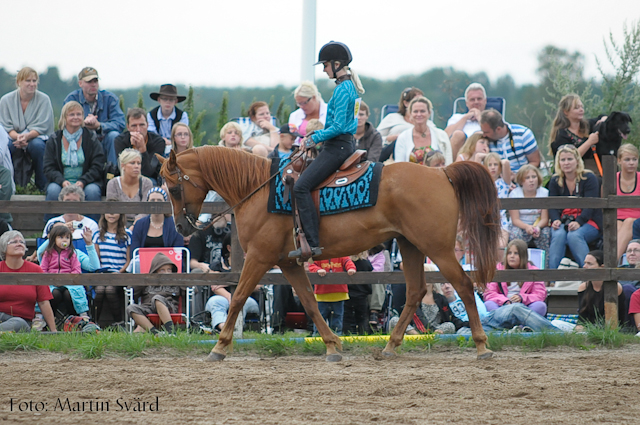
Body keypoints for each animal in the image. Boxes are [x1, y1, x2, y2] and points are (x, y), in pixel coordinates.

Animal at [158, 147, 502, 362]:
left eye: (174, 188)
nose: (180, 226)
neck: (259, 191)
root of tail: (442, 173)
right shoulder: (288, 262)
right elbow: (310, 303)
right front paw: (333, 346)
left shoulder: (258, 257)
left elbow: (239, 297)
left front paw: (219, 348)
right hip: (410, 245)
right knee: (416, 292)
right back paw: (390, 347)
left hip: (437, 248)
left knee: (463, 285)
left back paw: (482, 346)